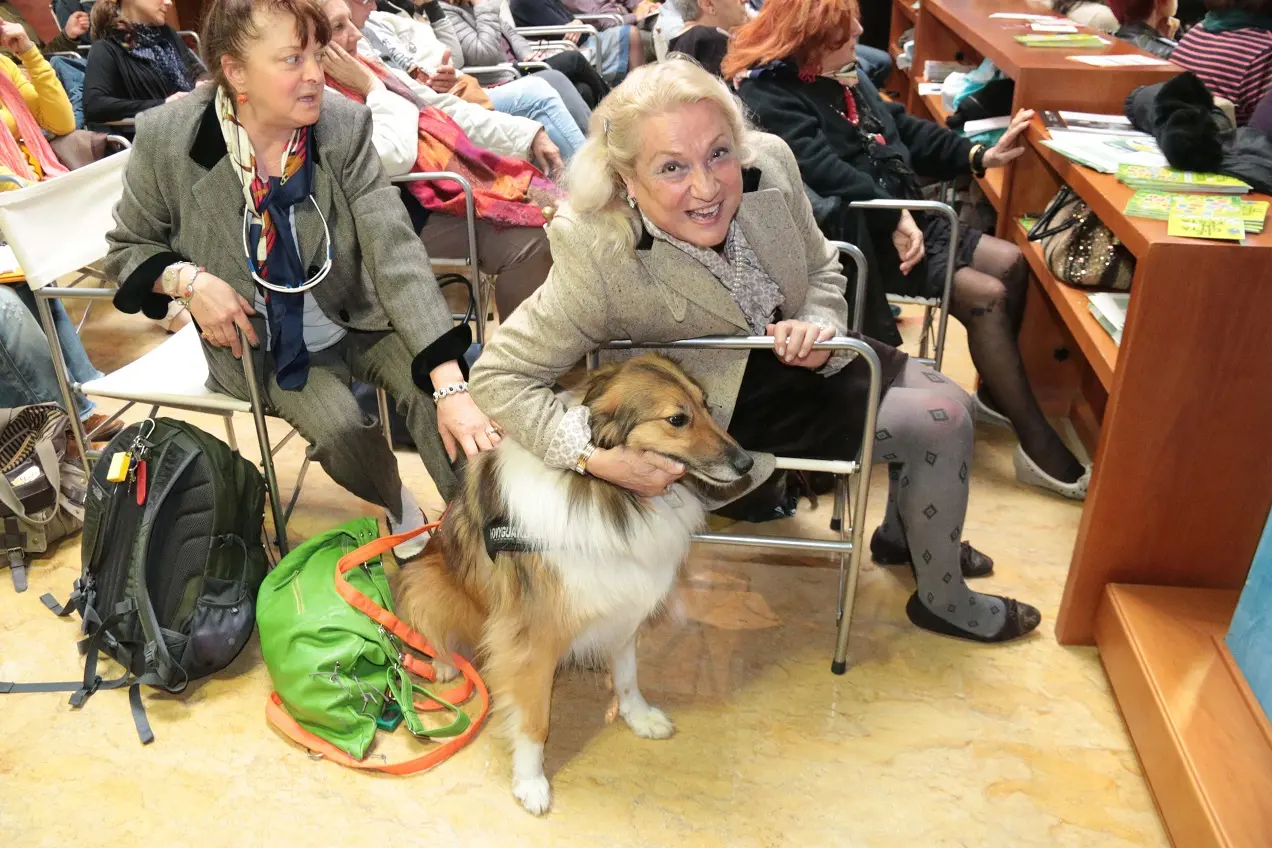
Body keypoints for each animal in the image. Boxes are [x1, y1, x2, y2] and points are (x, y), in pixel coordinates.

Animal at [396, 353, 747, 813]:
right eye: (677, 419)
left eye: (706, 405)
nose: (747, 464)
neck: (607, 493)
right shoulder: (530, 637)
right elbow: (534, 721)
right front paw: (531, 783)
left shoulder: (625, 606)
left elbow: (628, 675)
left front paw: (639, 717)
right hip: (428, 580)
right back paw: (441, 663)